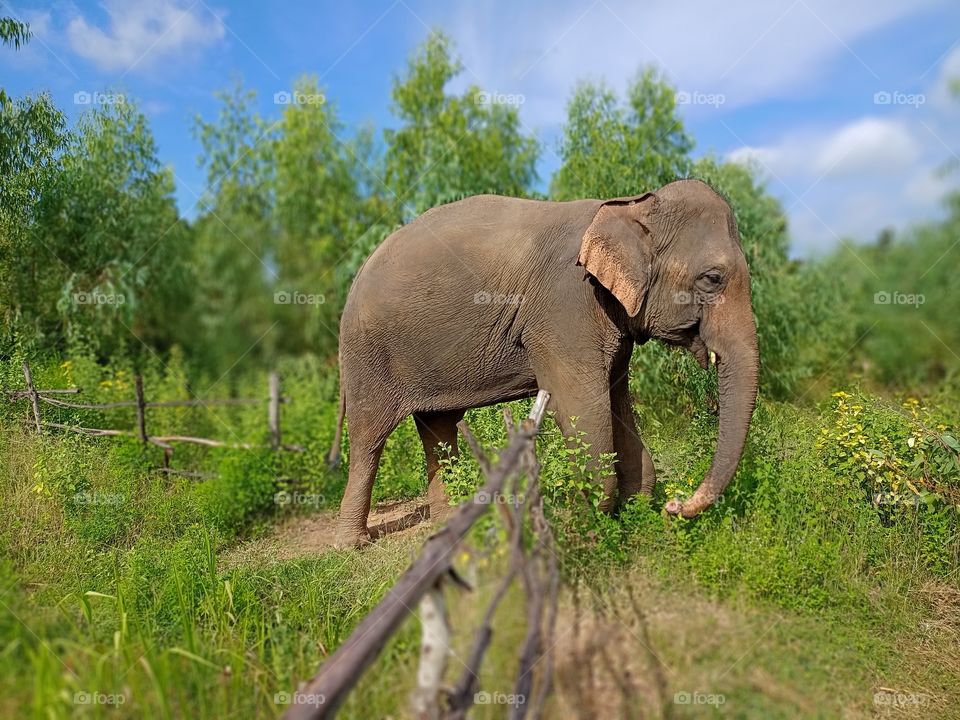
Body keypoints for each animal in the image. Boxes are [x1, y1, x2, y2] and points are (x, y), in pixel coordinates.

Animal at [328, 179, 759, 548]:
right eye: (712, 278)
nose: (676, 506)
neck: (631, 205)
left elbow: (617, 404)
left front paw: (636, 511)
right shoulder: (564, 308)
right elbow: (581, 407)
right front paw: (583, 529)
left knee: (439, 427)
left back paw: (448, 526)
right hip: (368, 354)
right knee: (369, 438)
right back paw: (353, 543)